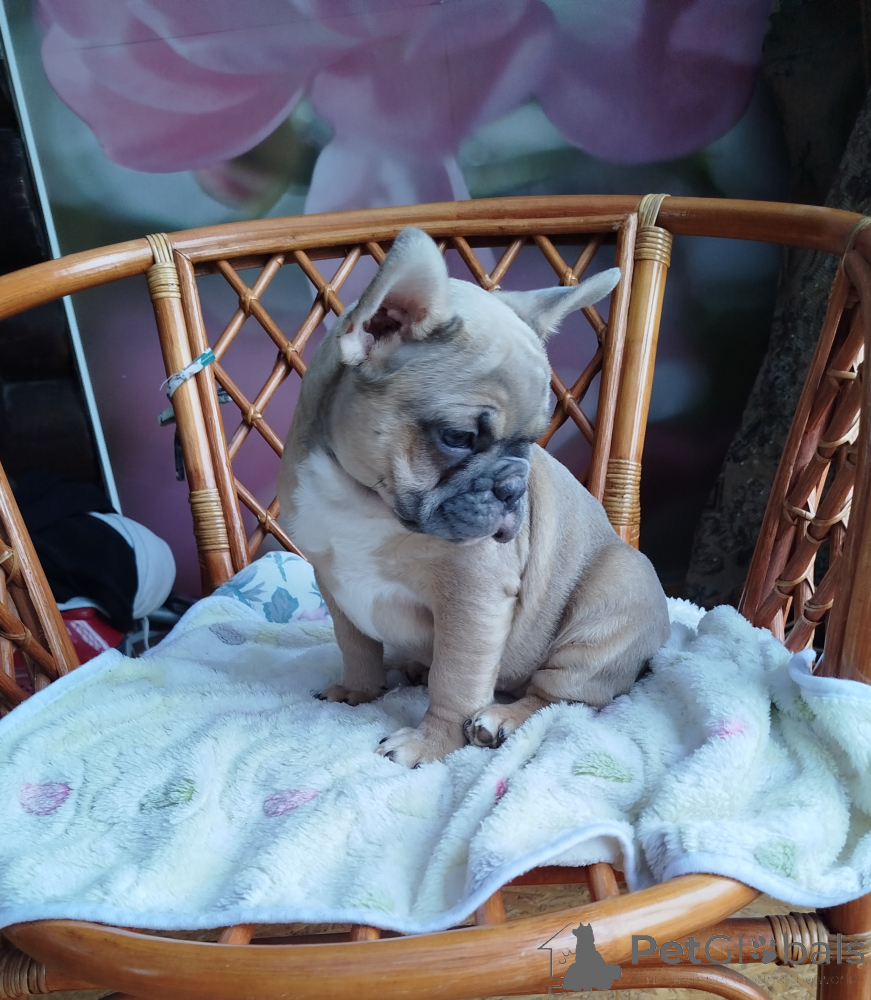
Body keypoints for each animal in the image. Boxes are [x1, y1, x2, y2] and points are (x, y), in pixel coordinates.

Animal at [278, 227, 670, 768]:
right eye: (458, 438)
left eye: (532, 441)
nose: (513, 487)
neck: (363, 500)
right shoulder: (333, 581)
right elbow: (355, 645)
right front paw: (358, 690)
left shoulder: (472, 597)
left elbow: (455, 681)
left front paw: (430, 743)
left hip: (609, 605)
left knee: (558, 697)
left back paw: (499, 720)